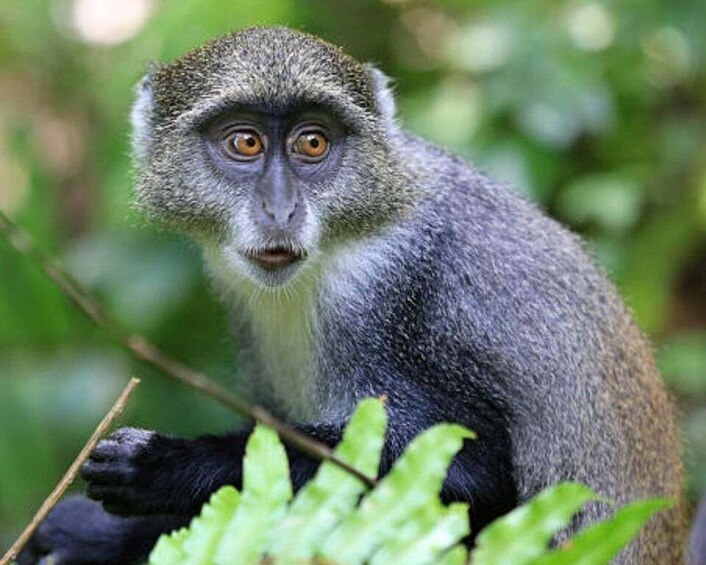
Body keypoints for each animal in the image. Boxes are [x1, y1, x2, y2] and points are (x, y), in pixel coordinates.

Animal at [18, 26, 687, 564]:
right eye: (245, 143)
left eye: (313, 143)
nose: (280, 209)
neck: (350, 230)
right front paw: (92, 535)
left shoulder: (391, 299)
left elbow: (475, 471)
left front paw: (168, 468)